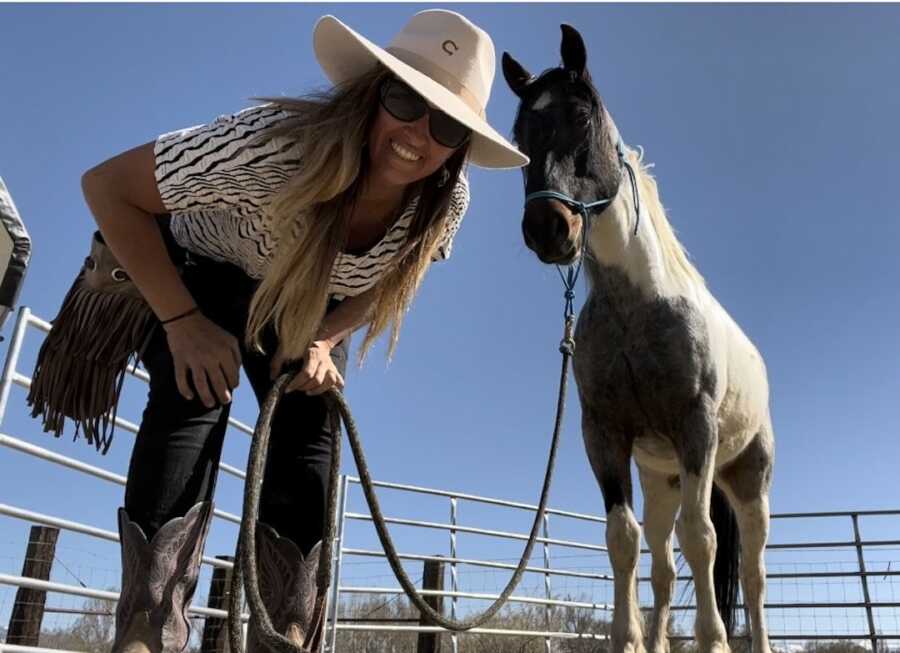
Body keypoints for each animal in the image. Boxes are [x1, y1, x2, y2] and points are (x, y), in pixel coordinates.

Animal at [506, 25, 772, 652]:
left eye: (582, 116)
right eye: (518, 135)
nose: (547, 228)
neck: (638, 309)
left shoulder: (695, 428)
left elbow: (702, 538)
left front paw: (713, 640)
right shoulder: (604, 435)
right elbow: (622, 540)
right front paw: (627, 639)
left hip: (748, 480)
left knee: (751, 573)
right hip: (662, 480)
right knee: (664, 565)